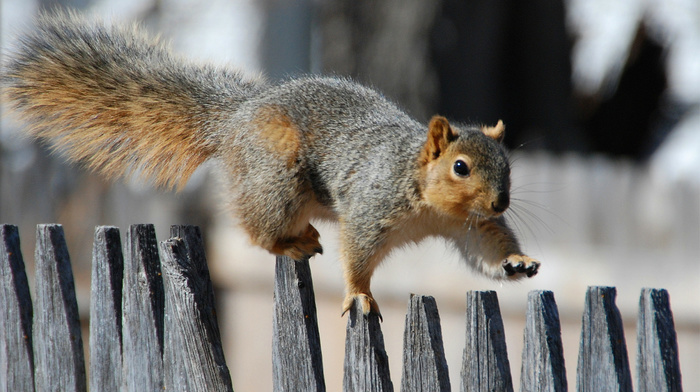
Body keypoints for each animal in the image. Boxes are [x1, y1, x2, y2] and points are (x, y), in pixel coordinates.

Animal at [1, 12, 540, 316]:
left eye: (507, 165)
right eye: (460, 167)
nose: (501, 201)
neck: (430, 203)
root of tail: (234, 120)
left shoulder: (470, 226)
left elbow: (485, 248)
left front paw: (517, 262)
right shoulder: (371, 207)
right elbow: (358, 255)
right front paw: (359, 296)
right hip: (277, 179)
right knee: (256, 229)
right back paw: (290, 241)